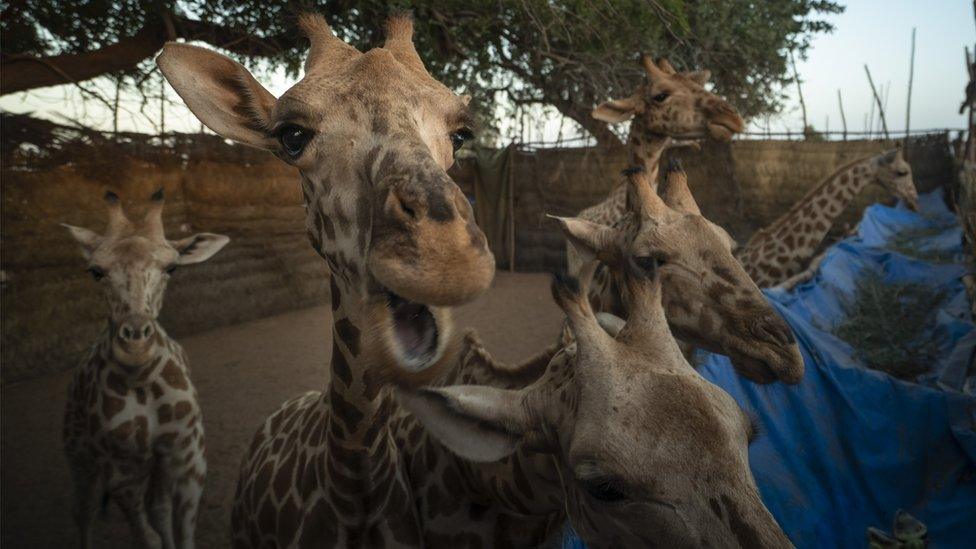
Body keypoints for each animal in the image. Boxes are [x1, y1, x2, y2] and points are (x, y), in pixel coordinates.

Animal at [62, 189, 230, 548]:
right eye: (95, 271)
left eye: (172, 268)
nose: (135, 344)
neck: (142, 379)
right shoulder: (123, 468)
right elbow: (147, 536)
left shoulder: (187, 451)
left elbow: (180, 523)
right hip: (79, 455)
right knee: (83, 511)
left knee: (158, 507)